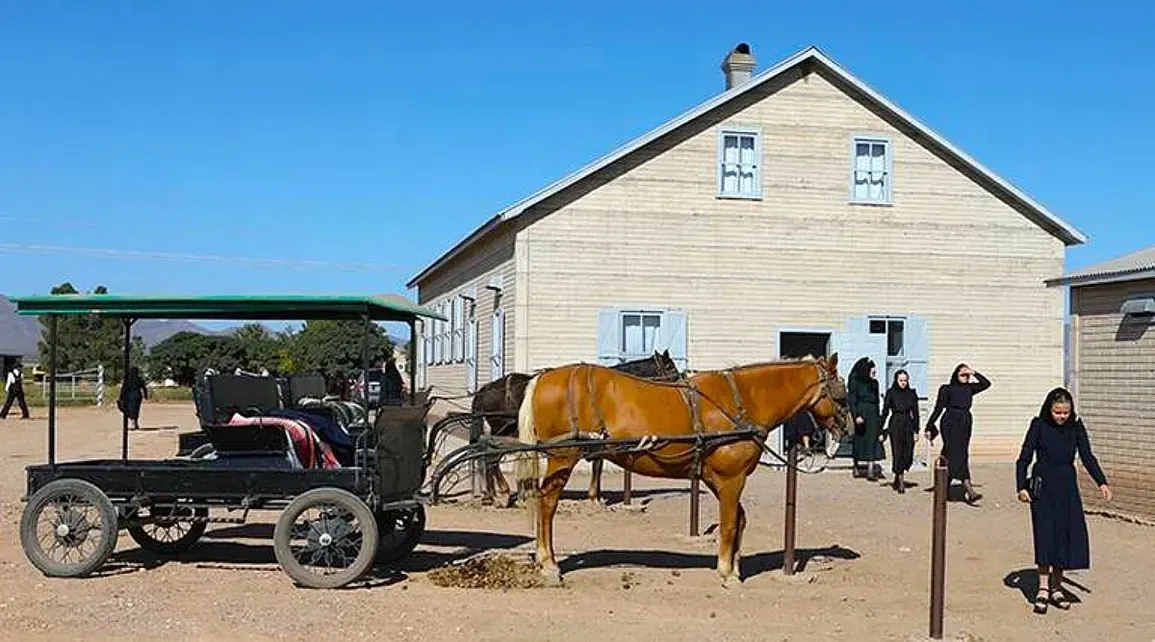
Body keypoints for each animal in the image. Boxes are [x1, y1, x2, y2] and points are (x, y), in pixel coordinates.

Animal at [466, 351, 679, 505]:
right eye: (671, 368)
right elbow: (597, 464)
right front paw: (594, 496)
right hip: (503, 430)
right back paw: (500, 493)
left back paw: (494, 494)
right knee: (491, 458)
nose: (679, 388)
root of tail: (485, 390)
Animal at [515, 355, 850, 586]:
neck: (743, 400)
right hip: (562, 458)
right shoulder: (731, 479)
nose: (848, 427)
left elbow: (740, 520)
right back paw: (549, 562)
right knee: (547, 505)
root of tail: (543, 378)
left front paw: (736, 565)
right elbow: (729, 524)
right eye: (841, 393)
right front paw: (726, 572)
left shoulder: (717, 479)